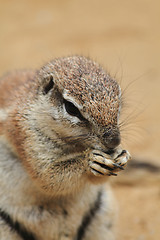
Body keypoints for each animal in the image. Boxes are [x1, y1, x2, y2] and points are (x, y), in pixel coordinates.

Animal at [0, 55, 130, 239]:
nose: (114, 141)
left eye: (118, 99)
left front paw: (122, 155)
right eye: (71, 108)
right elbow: (47, 176)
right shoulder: (26, 136)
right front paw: (89, 160)